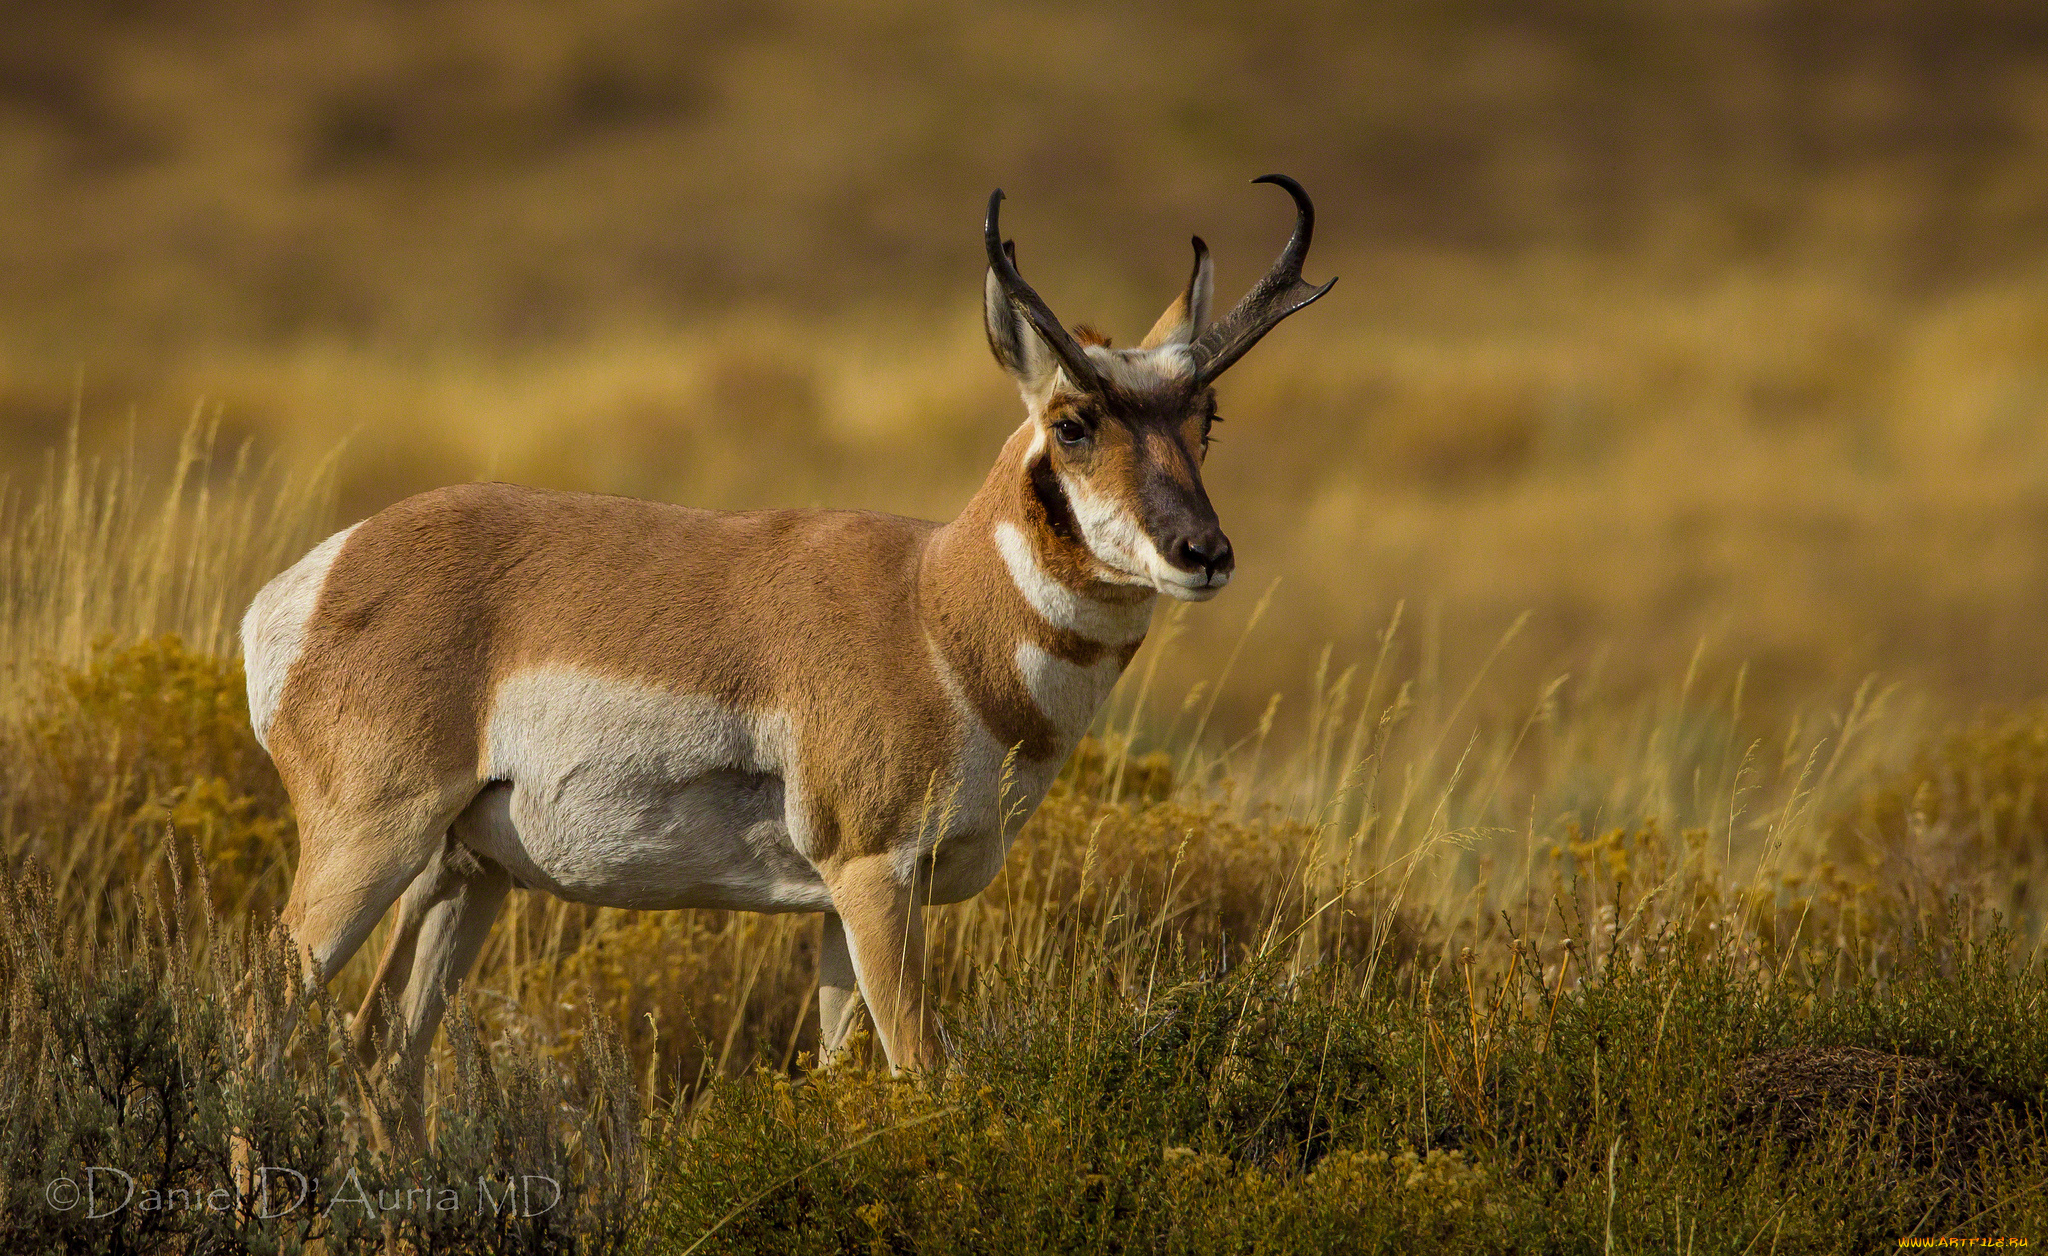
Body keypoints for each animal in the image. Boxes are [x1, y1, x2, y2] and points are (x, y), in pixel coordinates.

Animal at [239, 174, 1335, 1122]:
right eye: (1073, 421)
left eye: (1204, 419)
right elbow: (922, 1071)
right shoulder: (874, 877)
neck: (931, 610)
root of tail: (322, 573)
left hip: (466, 873)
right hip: (370, 844)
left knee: (382, 1050)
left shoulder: (840, 911)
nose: (1203, 553)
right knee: (266, 1016)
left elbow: (844, 1070)